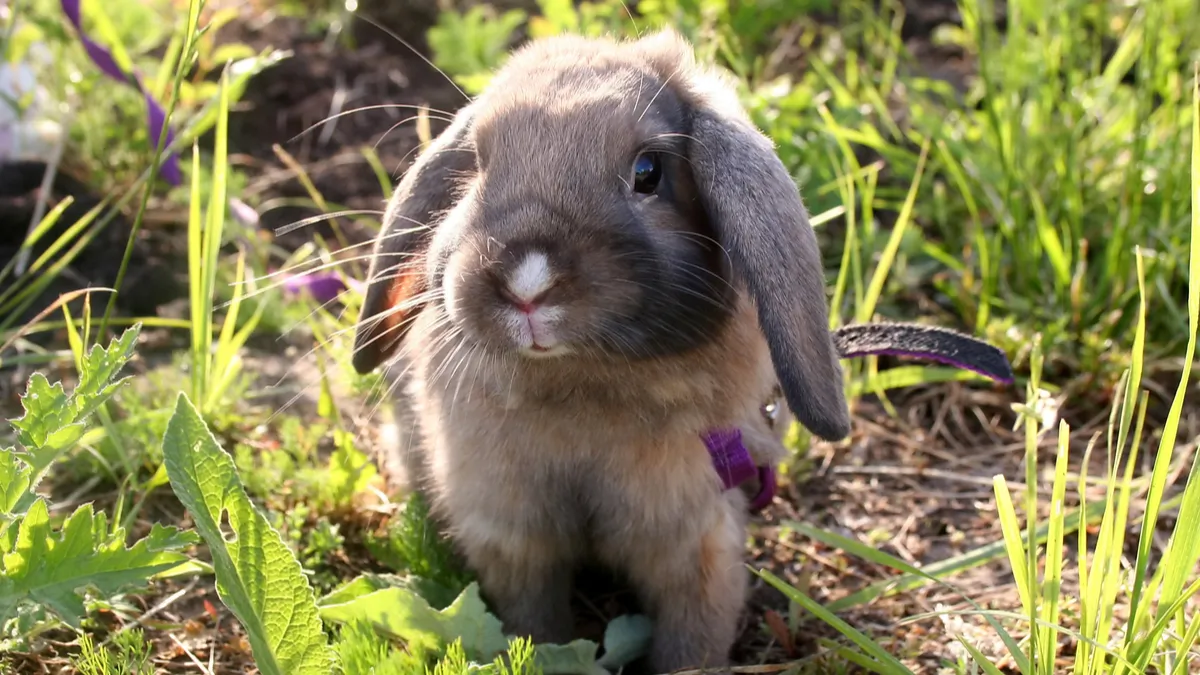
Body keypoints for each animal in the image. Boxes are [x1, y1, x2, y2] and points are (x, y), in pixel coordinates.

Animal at [350, 28, 1012, 667]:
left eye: (649, 171)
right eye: (479, 165)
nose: (527, 285)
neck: (583, 382)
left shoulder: (694, 538)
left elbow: (694, 632)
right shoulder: (509, 531)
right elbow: (532, 617)